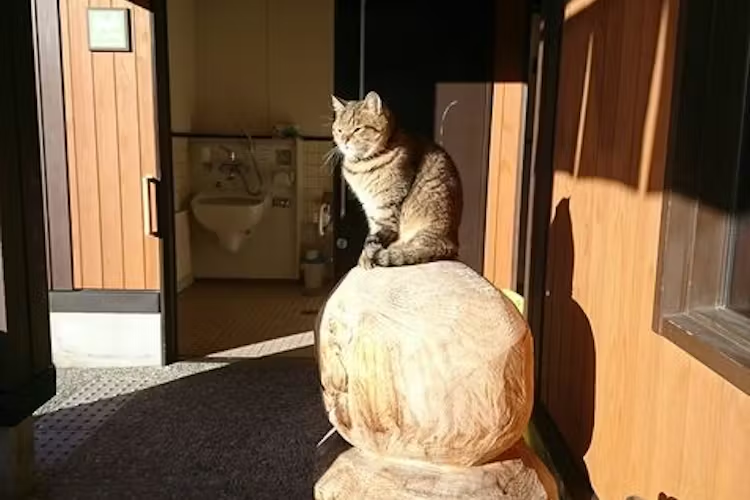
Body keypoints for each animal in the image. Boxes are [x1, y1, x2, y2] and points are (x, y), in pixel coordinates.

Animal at [330, 91, 463, 269]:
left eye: (357, 129)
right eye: (339, 130)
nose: (344, 141)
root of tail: (452, 243)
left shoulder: (386, 207)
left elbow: (376, 237)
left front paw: (366, 257)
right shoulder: (371, 208)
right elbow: (373, 233)